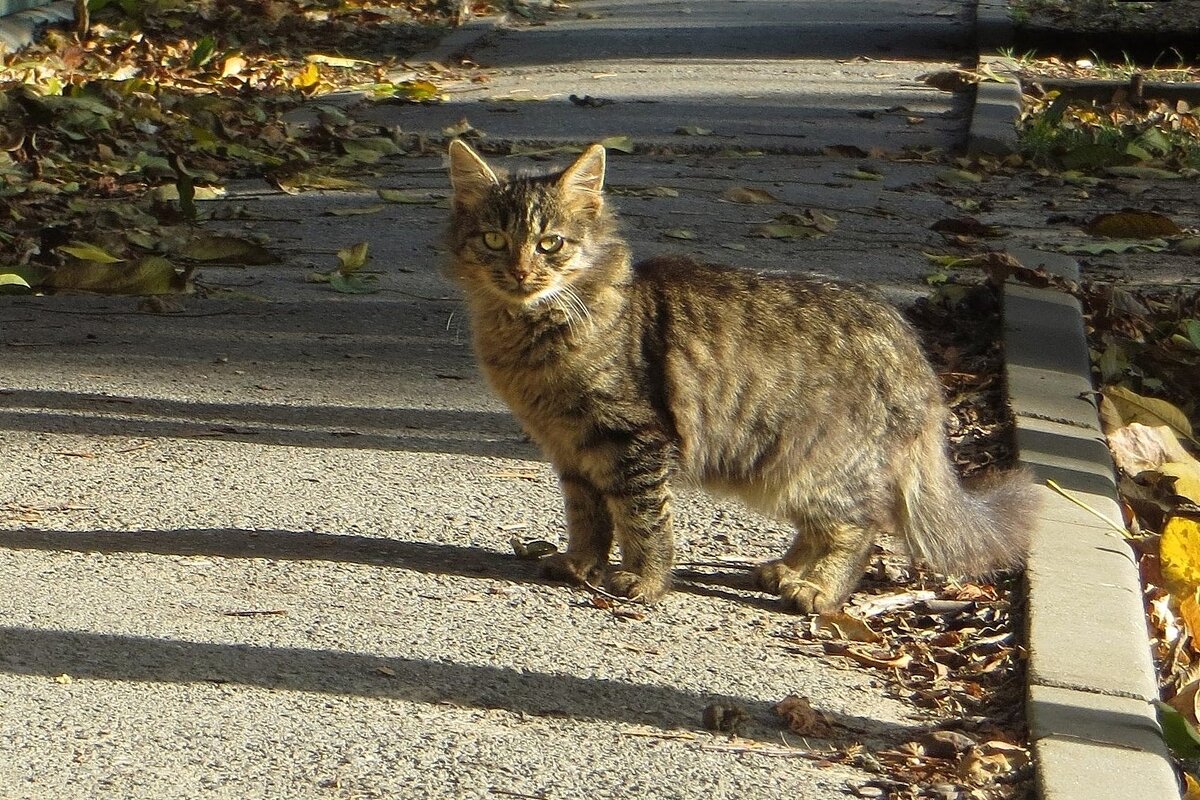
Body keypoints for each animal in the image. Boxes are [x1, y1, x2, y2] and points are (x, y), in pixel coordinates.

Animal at [446, 139, 1036, 614]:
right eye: (495, 241)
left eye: (551, 243)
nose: (521, 271)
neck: (528, 330)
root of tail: (911, 348)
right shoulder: (571, 451)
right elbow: (588, 518)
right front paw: (578, 564)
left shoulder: (633, 440)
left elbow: (643, 520)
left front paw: (645, 581)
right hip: (786, 468)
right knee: (822, 526)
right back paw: (784, 571)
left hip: (820, 464)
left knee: (862, 525)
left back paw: (817, 590)